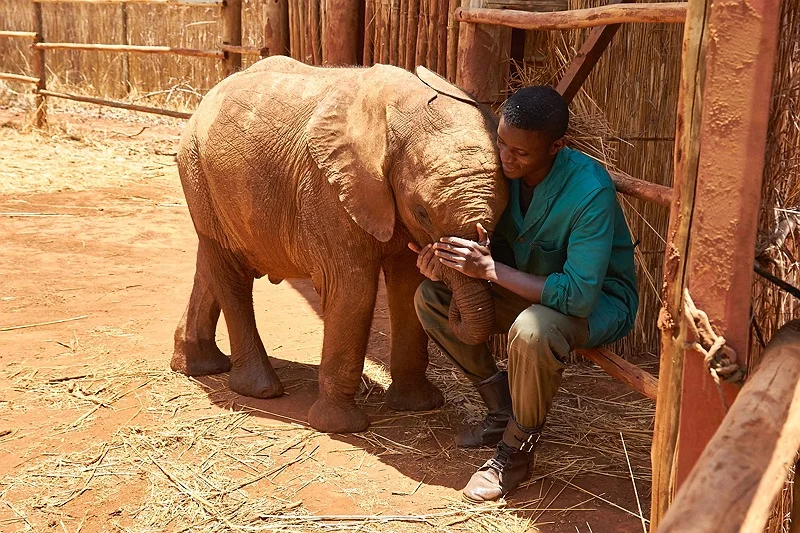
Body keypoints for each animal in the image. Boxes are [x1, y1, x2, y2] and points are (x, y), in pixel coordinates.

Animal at [170, 56, 508, 433]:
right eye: (422, 212)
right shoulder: (329, 188)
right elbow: (352, 287)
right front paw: (340, 427)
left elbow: (408, 285)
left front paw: (418, 406)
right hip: (198, 170)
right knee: (231, 273)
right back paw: (260, 390)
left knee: (209, 263)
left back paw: (197, 367)